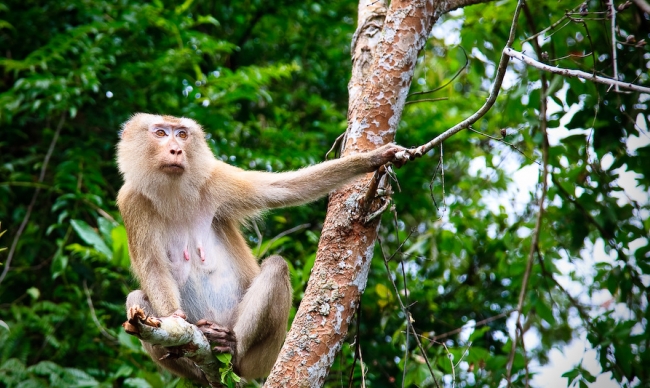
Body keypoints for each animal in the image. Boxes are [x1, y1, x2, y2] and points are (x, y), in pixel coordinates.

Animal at [114, 113, 402, 384]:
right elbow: (153, 268)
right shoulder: (131, 201)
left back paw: (231, 347)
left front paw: (372, 159)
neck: (173, 193)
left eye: (182, 134)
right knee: (135, 298)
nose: (176, 149)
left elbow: (284, 189)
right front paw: (177, 318)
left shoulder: (214, 177)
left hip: (265, 356)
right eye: (161, 133)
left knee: (276, 267)